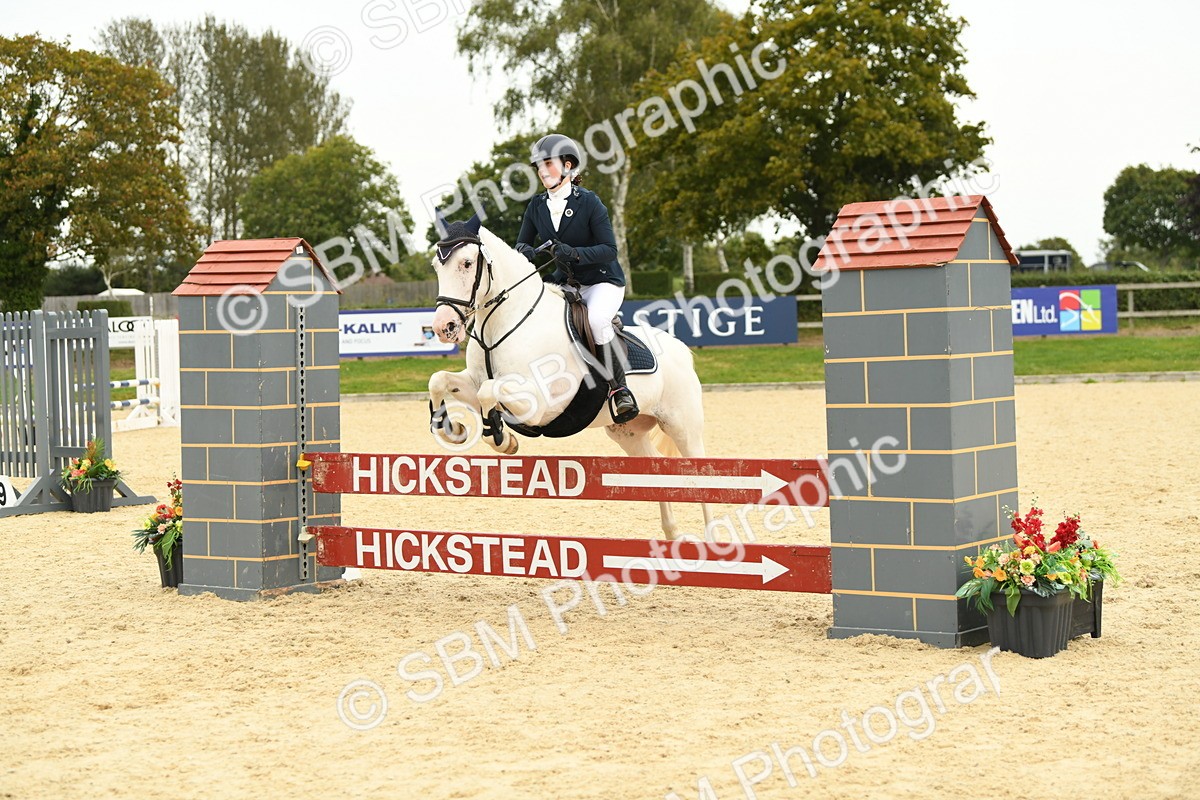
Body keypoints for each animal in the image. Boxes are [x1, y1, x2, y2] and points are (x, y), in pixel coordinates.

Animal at [426, 219, 713, 541]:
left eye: (466, 263)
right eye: (436, 266)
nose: (444, 327)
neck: (503, 323)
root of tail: (682, 350)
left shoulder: (539, 404)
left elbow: (489, 392)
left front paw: (502, 438)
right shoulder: (473, 382)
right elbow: (439, 380)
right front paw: (452, 430)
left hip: (682, 427)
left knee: (701, 477)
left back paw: (713, 539)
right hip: (628, 432)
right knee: (655, 472)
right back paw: (673, 534)